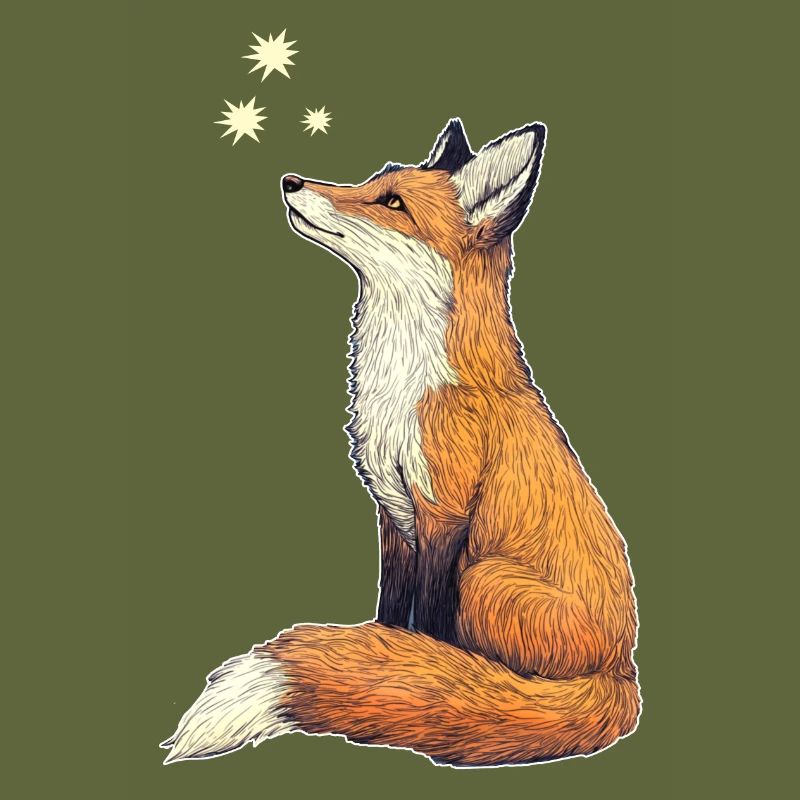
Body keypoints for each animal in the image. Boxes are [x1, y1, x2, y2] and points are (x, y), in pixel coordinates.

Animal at [162, 118, 640, 768]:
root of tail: (624, 674)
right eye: (371, 181)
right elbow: (393, 614)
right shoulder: (392, 510)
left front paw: (431, 673)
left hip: (484, 579)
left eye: (393, 203)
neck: (405, 386)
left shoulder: (442, 510)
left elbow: (428, 625)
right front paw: (389, 659)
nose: (291, 180)